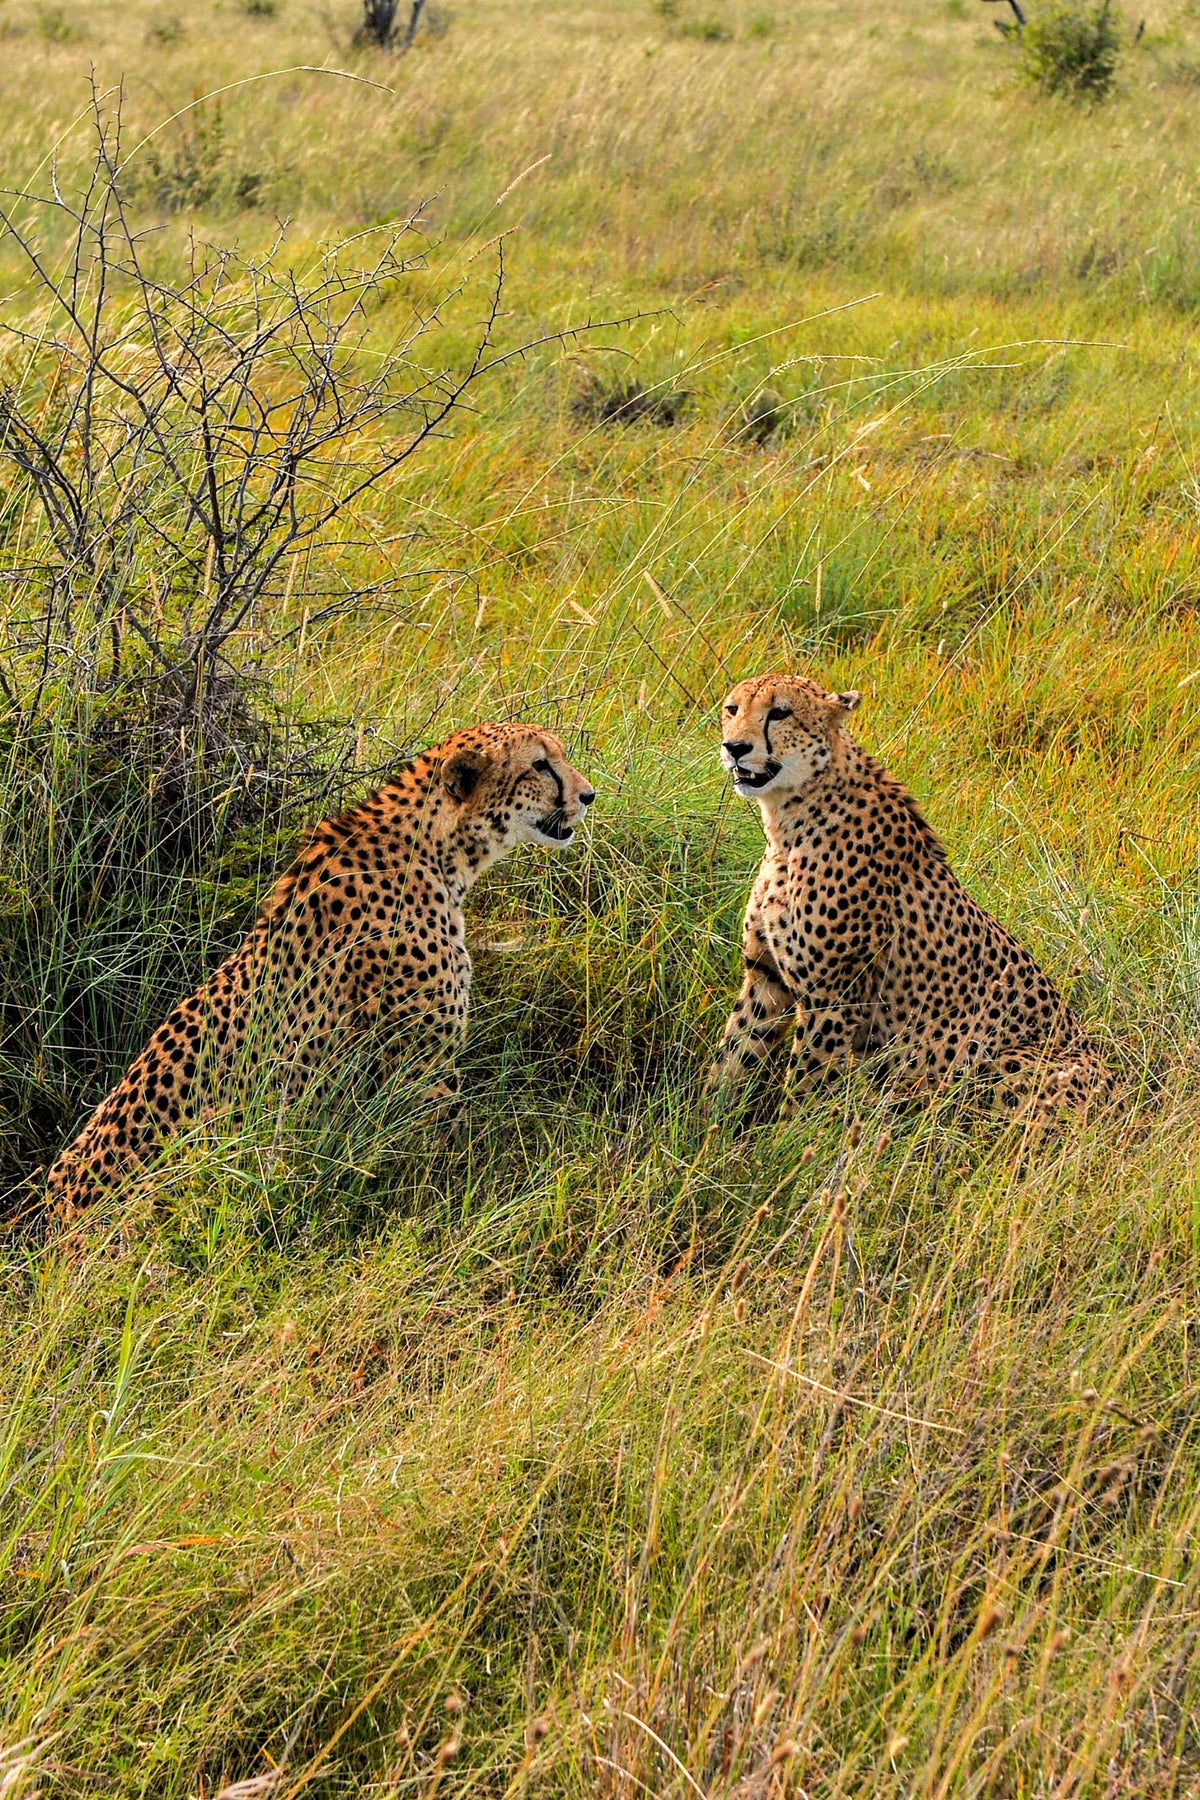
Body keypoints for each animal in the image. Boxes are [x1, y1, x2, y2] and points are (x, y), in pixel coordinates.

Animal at [45, 722, 595, 1225]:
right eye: (540, 765)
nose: (588, 795)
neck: (438, 851)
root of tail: (55, 1228)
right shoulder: (423, 1074)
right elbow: (455, 1170)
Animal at [708, 672, 1111, 1121]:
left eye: (780, 712)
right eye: (732, 709)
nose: (735, 747)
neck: (789, 821)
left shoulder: (832, 998)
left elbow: (804, 1088)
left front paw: (787, 1135)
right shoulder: (766, 976)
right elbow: (734, 1055)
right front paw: (709, 1122)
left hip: (999, 1067)